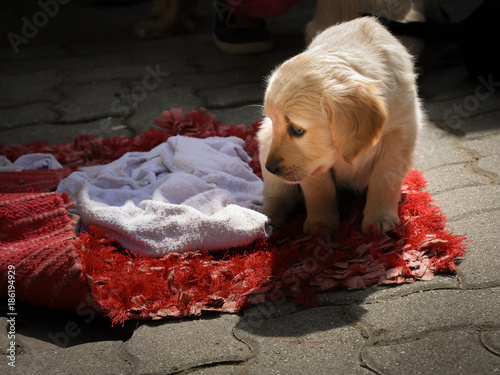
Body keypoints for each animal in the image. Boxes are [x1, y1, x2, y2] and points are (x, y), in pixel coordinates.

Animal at [260, 17, 424, 236]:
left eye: (297, 130)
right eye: (274, 122)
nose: (269, 168)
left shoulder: (401, 131)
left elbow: (386, 177)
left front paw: (379, 218)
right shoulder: (314, 163)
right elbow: (319, 188)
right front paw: (321, 223)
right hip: (264, 138)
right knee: (279, 197)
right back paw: (266, 219)